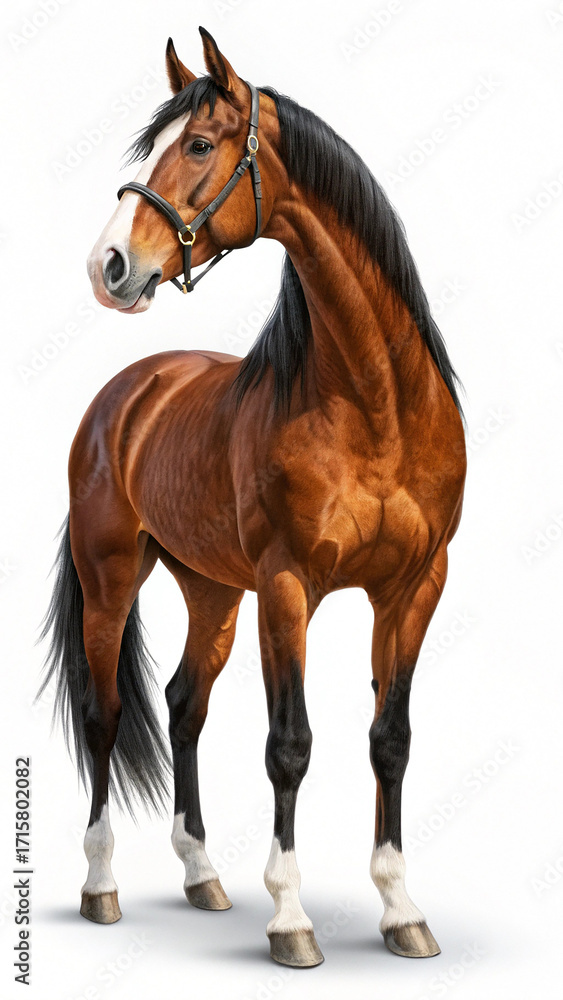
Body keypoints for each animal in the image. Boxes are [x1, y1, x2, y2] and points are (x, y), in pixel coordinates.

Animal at [42, 27, 466, 969]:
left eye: (200, 145)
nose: (107, 266)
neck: (375, 405)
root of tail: (127, 394)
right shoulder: (287, 587)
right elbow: (289, 746)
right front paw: (290, 922)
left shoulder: (413, 587)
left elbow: (390, 739)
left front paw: (401, 911)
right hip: (113, 579)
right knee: (105, 713)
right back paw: (100, 887)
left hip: (211, 590)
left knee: (182, 708)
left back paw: (202, 876)